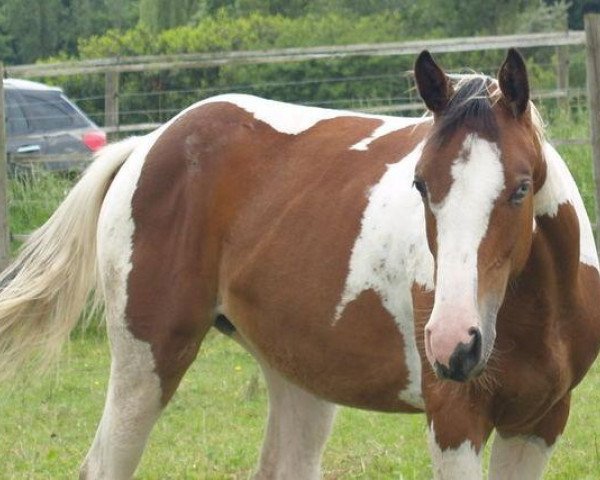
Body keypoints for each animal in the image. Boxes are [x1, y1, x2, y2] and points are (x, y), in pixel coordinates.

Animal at [1, 49, 600, 480]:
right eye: (420, 185)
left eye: (520, 188)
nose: (454, 344)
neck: (536, 312)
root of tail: (147, 143)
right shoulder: (455, 421)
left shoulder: (539, 424)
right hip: (145, 363)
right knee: (104, 464)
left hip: (296, 377)